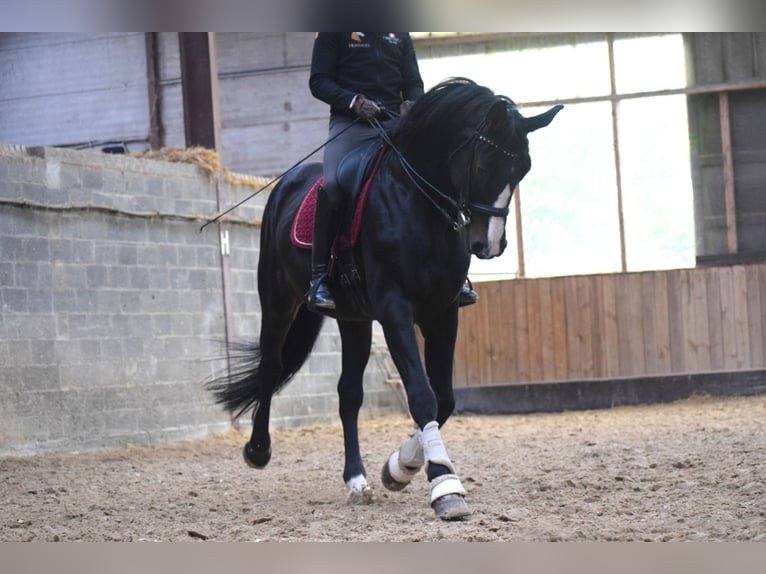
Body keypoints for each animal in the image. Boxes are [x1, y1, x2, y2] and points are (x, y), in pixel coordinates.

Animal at [207, 77, 560, 520]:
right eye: (484, 165)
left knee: (348, 394)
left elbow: (444, 399)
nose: (490, 245)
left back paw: (357, 481)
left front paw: (400, 468)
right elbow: (423, 396)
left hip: (353, 319)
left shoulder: (443, 312)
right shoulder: (395, 310)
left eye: (523, 170)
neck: (417, 203)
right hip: (277, 300)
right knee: (271, 366)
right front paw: (445, 486)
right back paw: (258, 450)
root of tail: (287, 184)